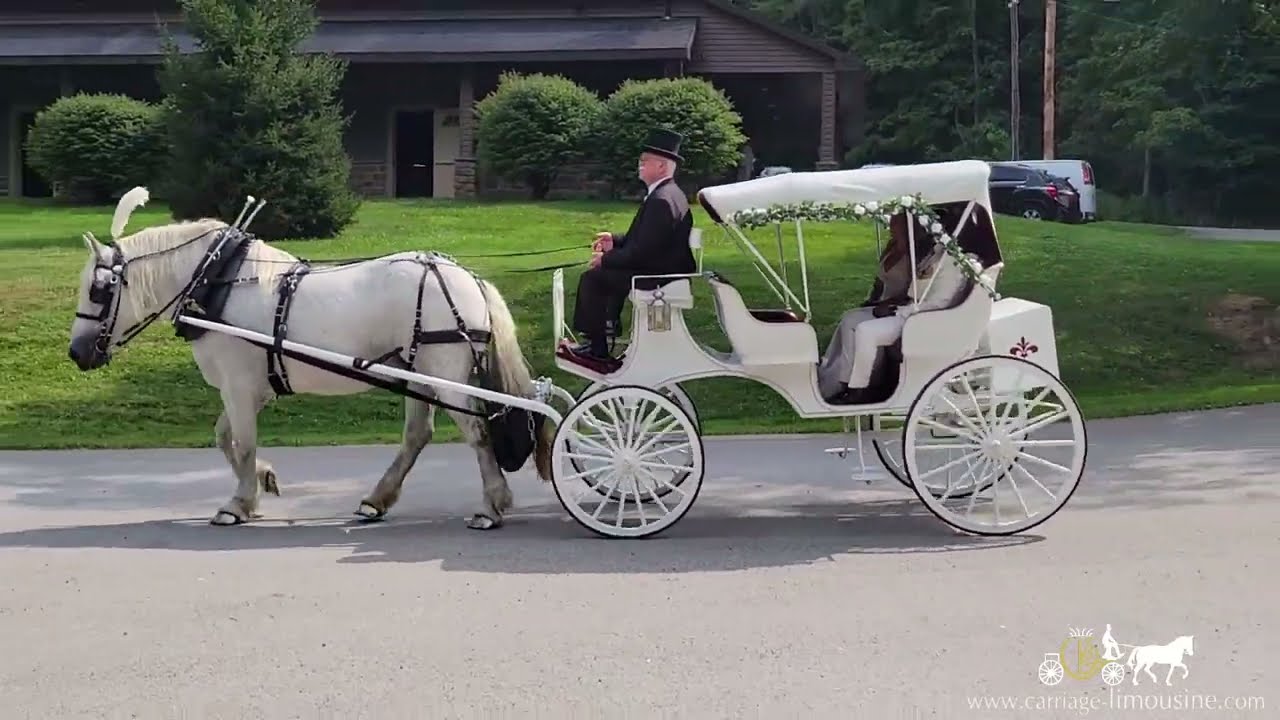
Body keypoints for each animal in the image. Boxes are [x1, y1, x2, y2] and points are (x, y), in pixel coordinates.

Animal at [67, 188, 554, 529]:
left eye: (99, 289)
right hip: (418, 371)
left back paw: (491, 506)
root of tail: (466, 277)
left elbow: (242, 442)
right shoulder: (251, 389)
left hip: (444, 373)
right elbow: (225, 437)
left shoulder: (239, 386)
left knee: (477, 433)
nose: (76, 352)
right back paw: (376, 500)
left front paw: (238, 504)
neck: (217, 281)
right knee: (418, 435)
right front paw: (262, 482)